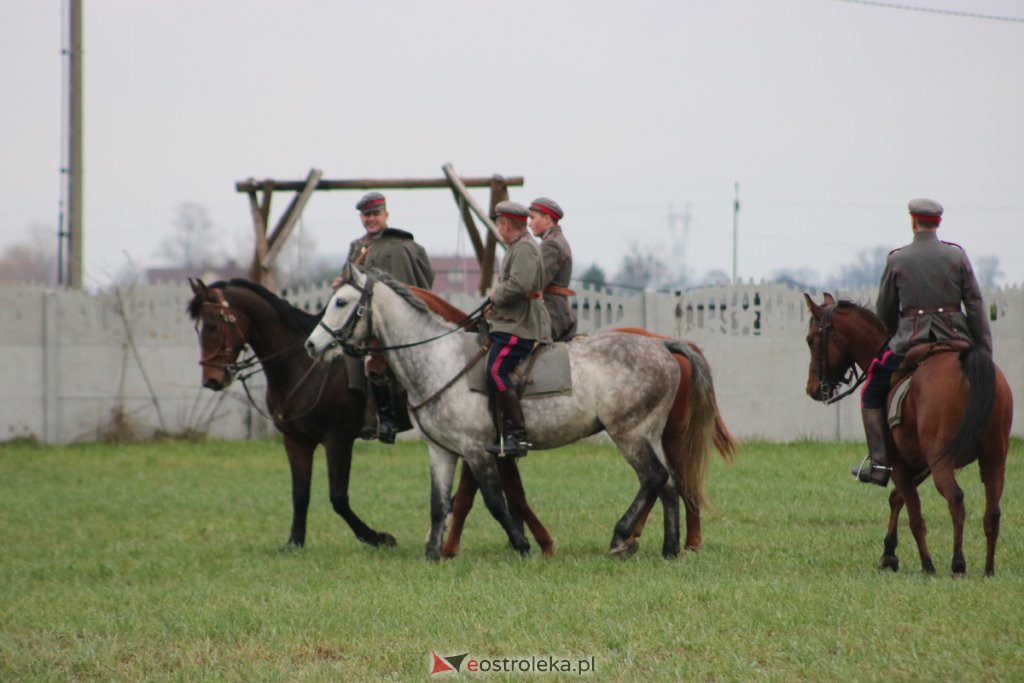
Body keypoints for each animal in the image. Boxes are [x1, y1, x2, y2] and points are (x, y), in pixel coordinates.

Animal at [188, 278, 395, 548]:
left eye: (212, 325)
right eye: (198, 328)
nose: (211, 381)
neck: (304, 365)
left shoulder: (337, 438)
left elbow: (338, 496)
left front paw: (376, 537)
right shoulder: (296, 440)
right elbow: (300, 493)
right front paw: (294, 542)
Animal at [405, 286, 737, 557]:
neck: (449, 361)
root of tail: (666, 345)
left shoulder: (476, 447)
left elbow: (483, 497)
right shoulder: (473, 450)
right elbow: (495, 495)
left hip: (638, 433)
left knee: (663, 478)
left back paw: (635, 538)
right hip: (652, 434)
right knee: (670, 483)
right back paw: (667, 546)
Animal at [802, 294, 1011, 577]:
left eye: (811, 339)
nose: (812, 388)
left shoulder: (899, 463)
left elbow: (913, 513)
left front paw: (926, 565)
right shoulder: (920, 463)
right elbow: (898, 498)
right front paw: (889, 553)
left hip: (943, 462)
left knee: (956, 500)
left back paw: (957, 563)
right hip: (994, 459)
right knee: (993, 511)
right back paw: (988, 569)